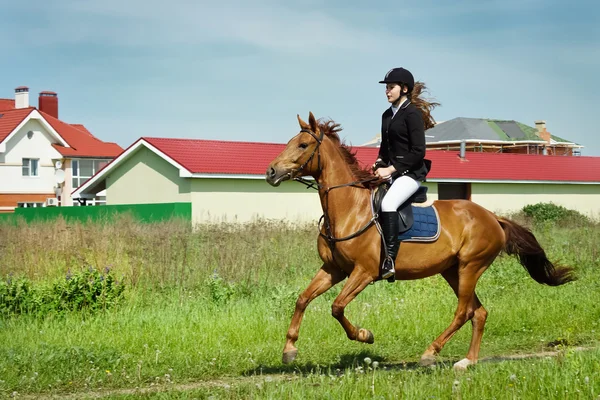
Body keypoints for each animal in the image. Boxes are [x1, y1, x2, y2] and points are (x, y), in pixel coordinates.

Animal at [264, 111, 576, 370]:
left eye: (303, 145)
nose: (270, 172)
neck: (350, 209)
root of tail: (492, 217)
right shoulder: (334, 269)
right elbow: (302, 299)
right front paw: (289, 349)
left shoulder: (364, 272)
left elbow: (337, 307)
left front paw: (365, 335)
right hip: (453, 271)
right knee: (479, 312)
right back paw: (468, 361)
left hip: (470, 267)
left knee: (464, 311)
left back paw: (430, 353)